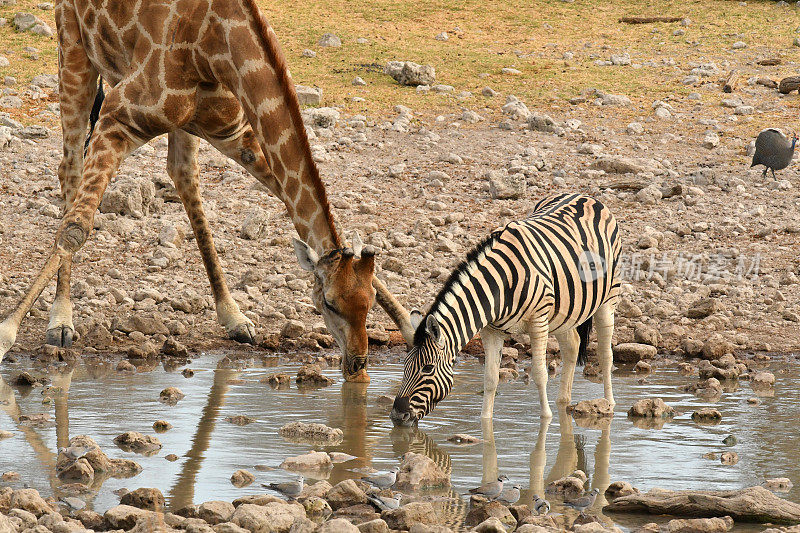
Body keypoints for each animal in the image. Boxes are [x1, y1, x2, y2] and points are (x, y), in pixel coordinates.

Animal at [0, 0, 412, 382]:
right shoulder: (116, 119)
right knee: (69, 167)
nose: (358, 365)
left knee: (182, 175)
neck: (214, 49)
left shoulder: (234, 132)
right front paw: (7, 333)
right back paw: (61, 321)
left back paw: (234, 316)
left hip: (181, 121)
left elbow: (287, 196)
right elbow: (76, 228)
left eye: (367, 303)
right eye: (328, 303)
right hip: (73, 46)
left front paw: (411, 327)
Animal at [390, 193, 620, 426]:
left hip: (608, 298)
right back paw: (563, 402)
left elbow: (540, 374)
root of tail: (584, 196)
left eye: (427, 368)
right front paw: (485, 421)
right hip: (563, 313)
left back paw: (609, 404)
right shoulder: (490, 330)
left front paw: (546, 419)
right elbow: (490, 378)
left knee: (605, 354)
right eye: (405, 365)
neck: (501, 285)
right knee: (572, 345)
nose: (397, 416)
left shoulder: (538, 321)